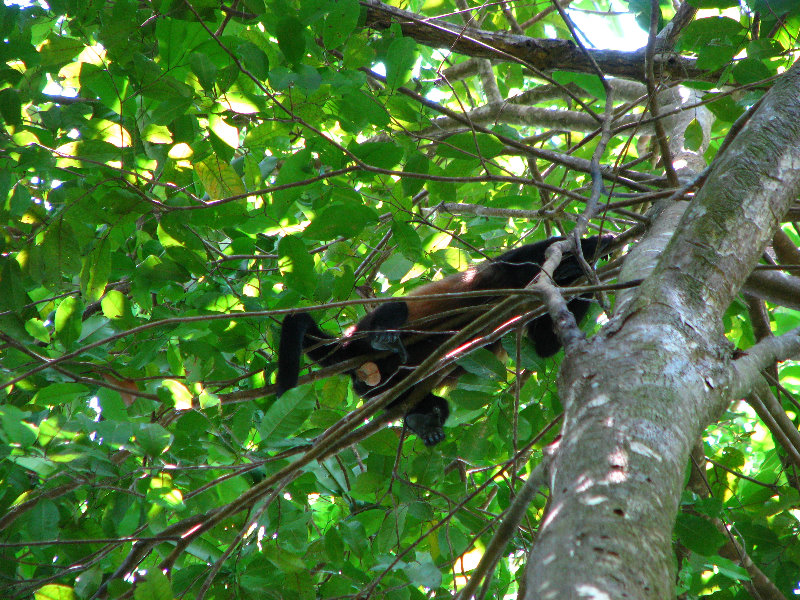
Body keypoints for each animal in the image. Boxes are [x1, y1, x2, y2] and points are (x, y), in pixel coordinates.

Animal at [276, 234, 612, 446]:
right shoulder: (510, 268)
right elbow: (531, 253)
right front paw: (595, 245)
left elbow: (545, 345)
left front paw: (581, 272)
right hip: (363, 335)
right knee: (395, 309)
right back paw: (384, 337)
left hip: (379, 388)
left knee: (428, 402)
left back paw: (423, 422)